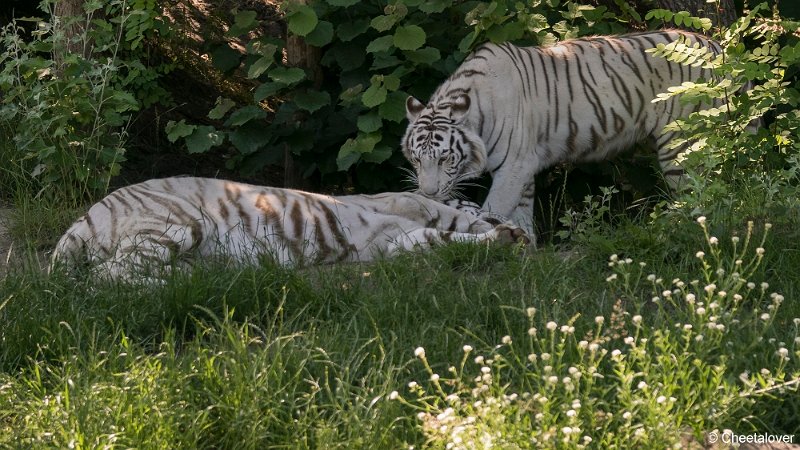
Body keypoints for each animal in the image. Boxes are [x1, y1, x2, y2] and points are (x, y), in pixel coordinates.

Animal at [406, 29, 752, 236]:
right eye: (416, 159)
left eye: (445, 158)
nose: (428, 194)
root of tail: (716, 46)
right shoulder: (523, 169)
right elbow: (521, 214)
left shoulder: (513, 166)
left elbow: (494, 209)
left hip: (681, 141)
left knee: (700, 191)